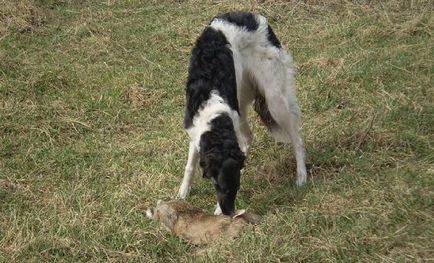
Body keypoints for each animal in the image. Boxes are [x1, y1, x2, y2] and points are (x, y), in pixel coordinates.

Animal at [175, 11, 306, 217]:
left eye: (236, 189)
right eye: (221, 188)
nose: (230, 213)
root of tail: (255, 15)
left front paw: (217, 210)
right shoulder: (194, 132)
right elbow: (189, 166)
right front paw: (182, 193)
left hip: (274, 99)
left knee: (296, 139)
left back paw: (301, 176)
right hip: (242, 99)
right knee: (249, 137)